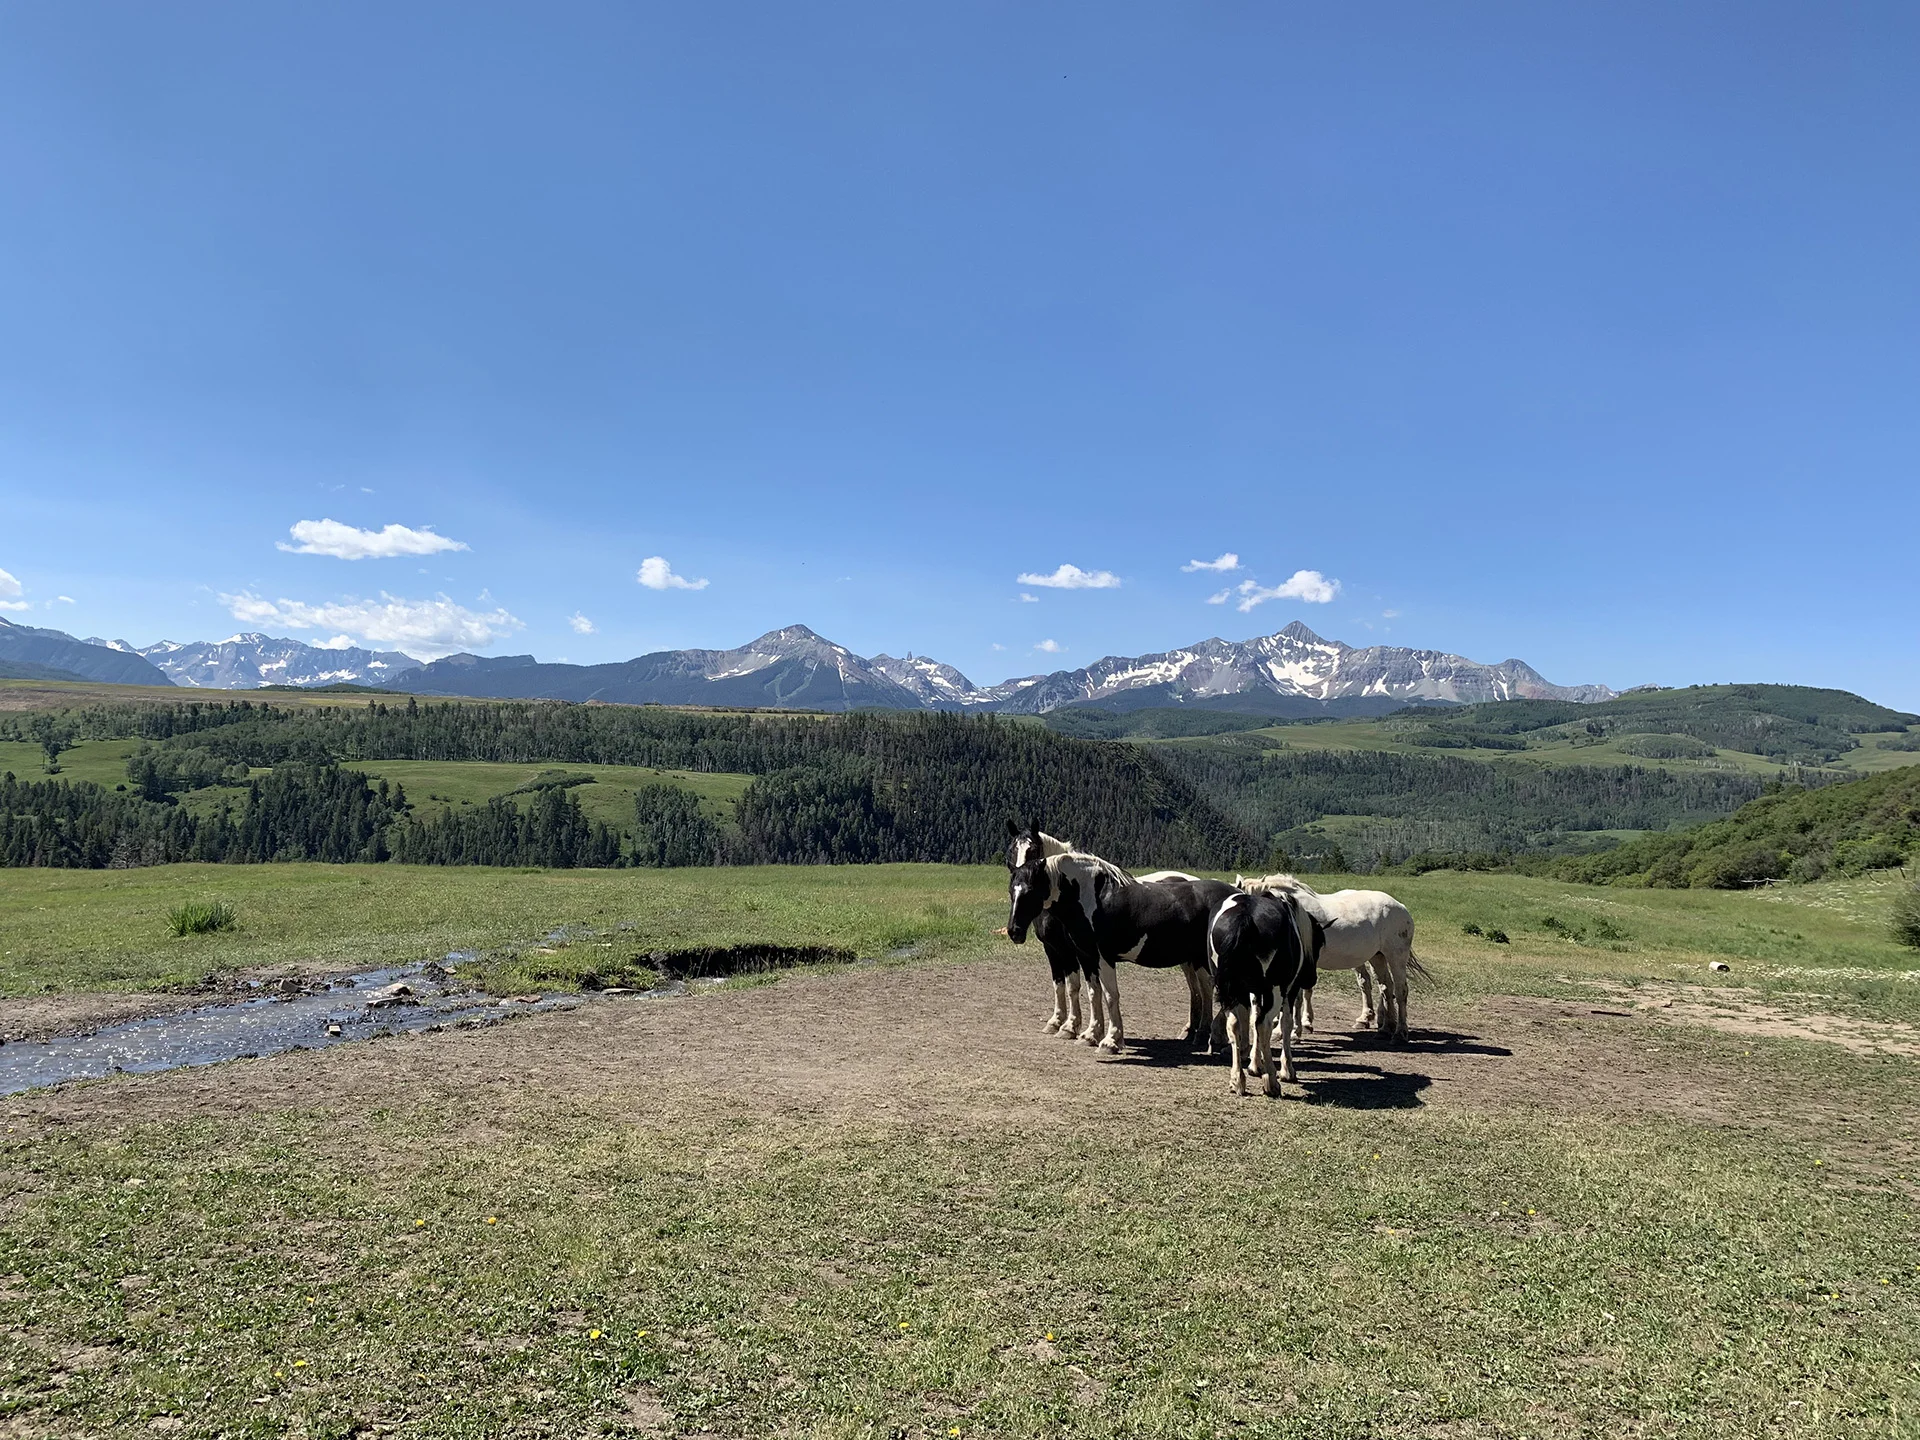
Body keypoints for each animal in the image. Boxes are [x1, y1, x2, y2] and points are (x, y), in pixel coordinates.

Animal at [1005, 822, 1235, 1053]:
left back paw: (1213, 1036)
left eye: (1030, 891)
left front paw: (1109, 1040)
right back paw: (1200, 1033)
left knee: (1213, 990)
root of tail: (1235, 893)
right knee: (1203, 989)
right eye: (1011, 891)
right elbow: (1090, 992)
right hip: (1194, 958)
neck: (1091, 897)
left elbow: (1107, 995)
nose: (1014, 931)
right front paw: (1089, 1034)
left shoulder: (1096, 956)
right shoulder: (1082, 956)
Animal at [1206, 888, 1319, 1096]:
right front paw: (1286, 1070)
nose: (1311, 978)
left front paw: (1255, 1065)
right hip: (1274, 989)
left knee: (1234, 1025)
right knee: (1264, 1024)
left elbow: (1252, 1019)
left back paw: (1237, 1080)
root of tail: (1244, 916)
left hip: (1234, 992)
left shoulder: (1253, 993)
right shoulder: (1288, 991)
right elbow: (1284, 1024)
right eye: (1319, 942)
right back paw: (1272, 1082)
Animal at [1237, 873, 1430, 1042]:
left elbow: (1296, 998)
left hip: (1396, 957)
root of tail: (1400, 907)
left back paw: (1399, 1033)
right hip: (1377, 957)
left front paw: (1293, 1031)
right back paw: (1383, 1029)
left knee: (1400, 990)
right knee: (1386, 988)